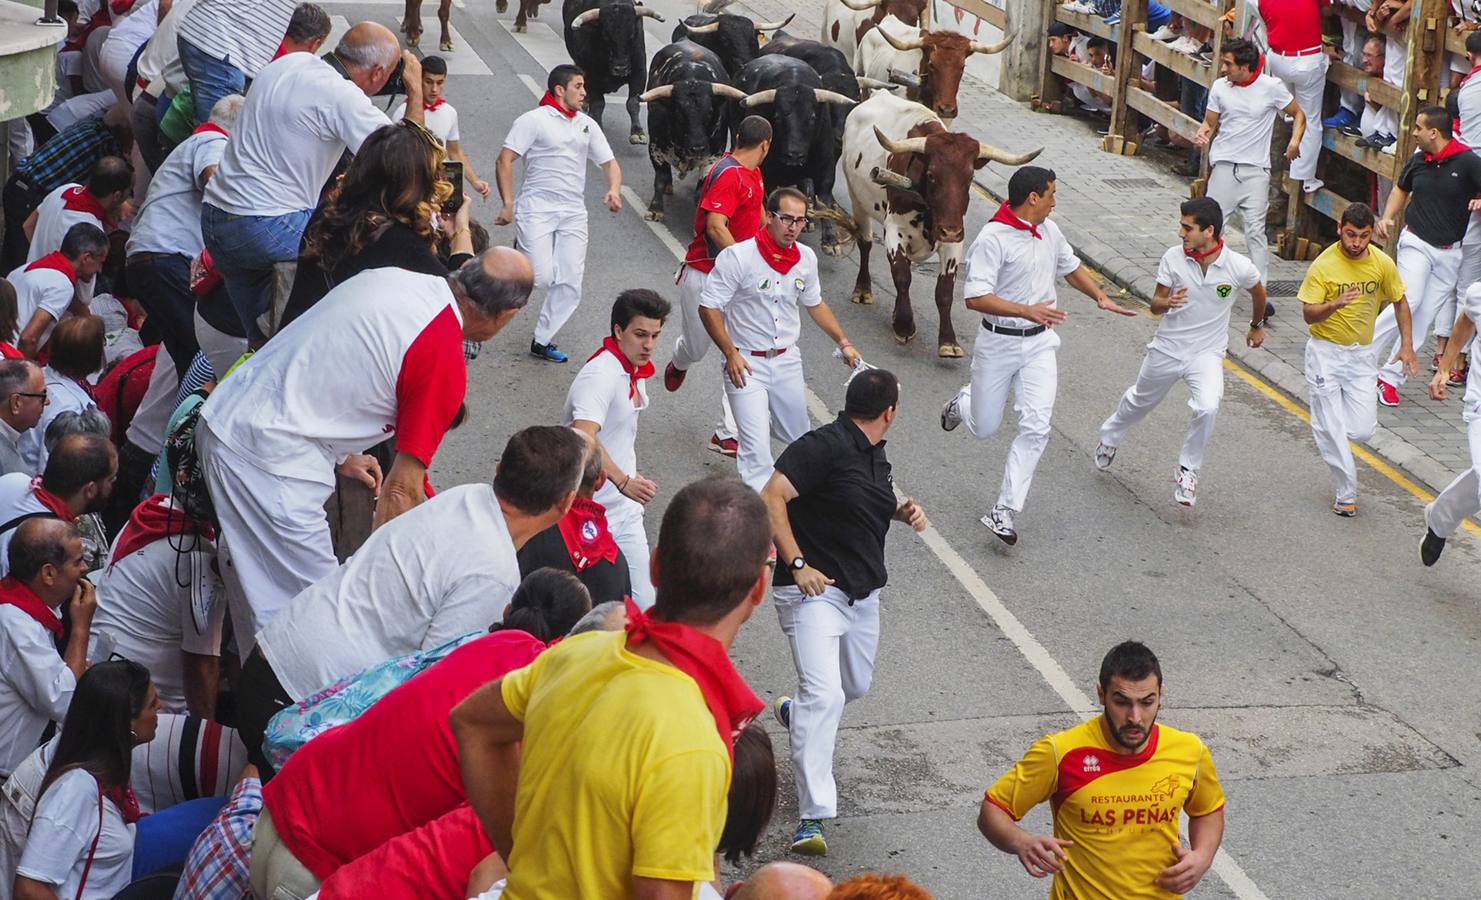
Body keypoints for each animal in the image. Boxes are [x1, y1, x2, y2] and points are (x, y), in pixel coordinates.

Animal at [559, 0, 666, 142]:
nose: (621, 68)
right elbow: (598, 104)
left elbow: (633, 102)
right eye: (606, 36)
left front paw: (637, 132)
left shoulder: (639, 73)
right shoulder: (591, 76)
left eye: (632, 34)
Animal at [642, 42, 746, 223]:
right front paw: (655, 209)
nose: (697, 148)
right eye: (678, 113)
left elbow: (700, 191)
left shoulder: (712, 157)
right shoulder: (655, 149)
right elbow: (659, 179)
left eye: (710, 112)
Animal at [737, 54, 864, 253]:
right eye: (777, 116)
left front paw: (831, 240)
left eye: (812, 117)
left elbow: (824, 198)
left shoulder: (826, 167)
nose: (794, 155)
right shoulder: (767, 173)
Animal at [835, 91, 1042, 356]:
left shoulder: (955, 241)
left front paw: (948, 341)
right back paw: (863, 290)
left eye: (970, 177)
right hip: (857, 199)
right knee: (865, 244)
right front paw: (904, 326)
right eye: (932, 175)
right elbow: (902, 275)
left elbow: (944, 291)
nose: (949, 230)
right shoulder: (895, 231)